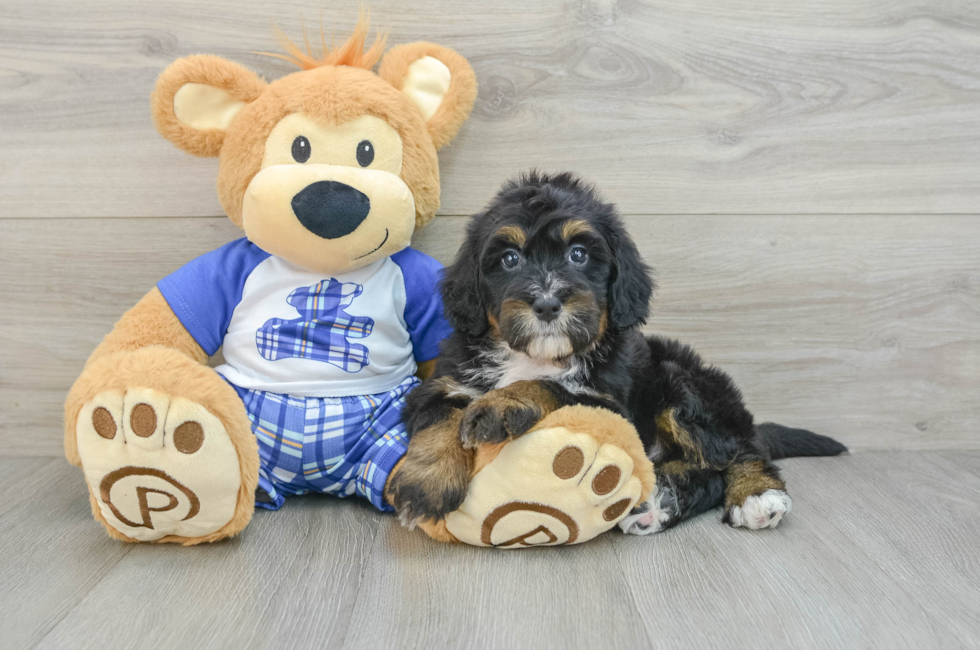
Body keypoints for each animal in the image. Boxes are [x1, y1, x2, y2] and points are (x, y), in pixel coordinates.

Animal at [386, 171, 848, 532]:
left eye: (578, 254)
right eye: (510, 258)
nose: (547, 304)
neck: (535, 356)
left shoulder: (610, 404)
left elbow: (553, 387)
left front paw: (505, 402)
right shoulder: (444, 380)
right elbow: (439, 420)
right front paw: (425, 484)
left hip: (682, 383)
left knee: (738, 450)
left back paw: (756, 494)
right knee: (705, 469)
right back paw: (658, 502)